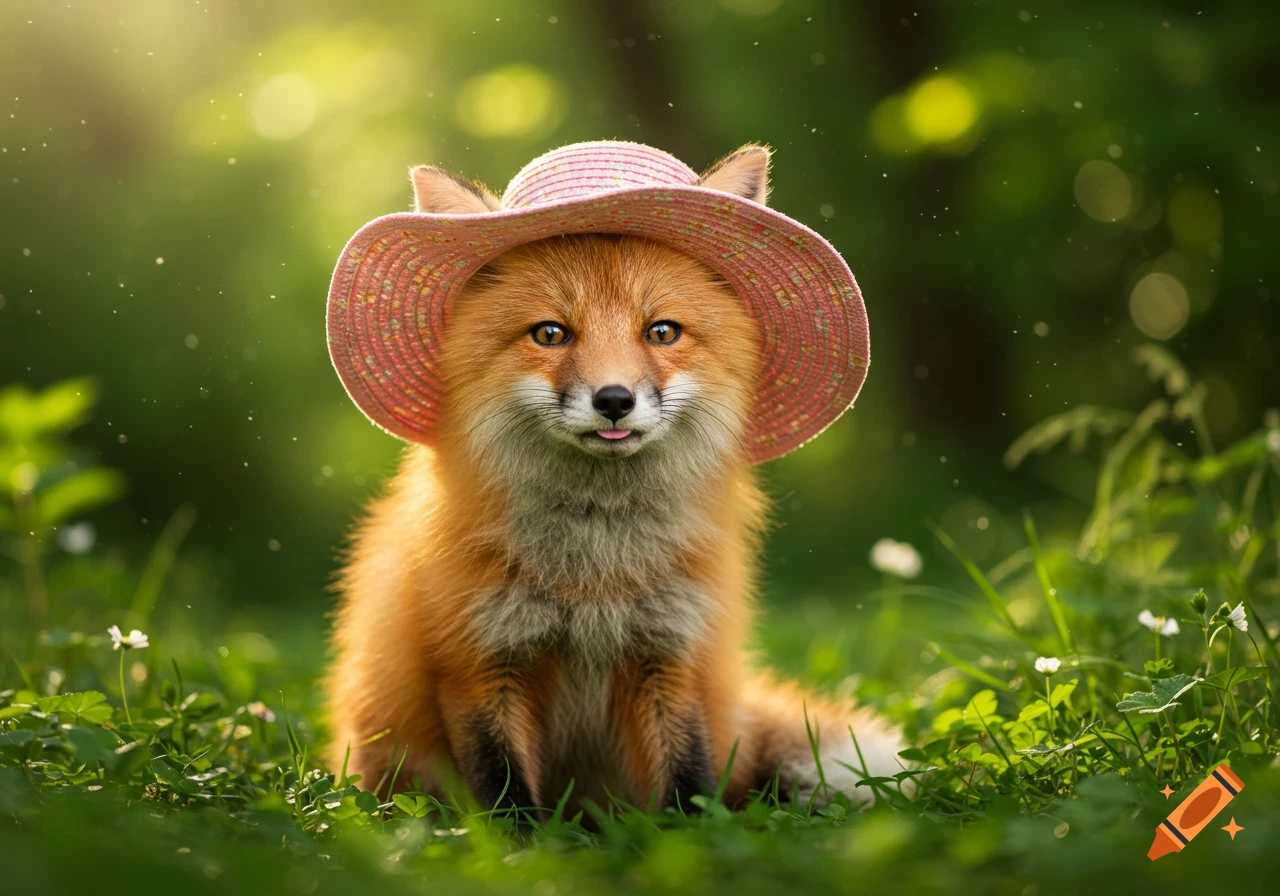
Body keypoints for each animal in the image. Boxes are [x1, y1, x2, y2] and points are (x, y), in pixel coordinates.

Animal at [325, 145, 904, 816]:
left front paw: (692, 836)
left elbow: (687, 780)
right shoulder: (477, 662)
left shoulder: (670, 651)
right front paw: (519, 842)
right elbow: (504, 792)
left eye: (662, 331)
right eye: (550, 333)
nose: (614, 400)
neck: (595, 570)